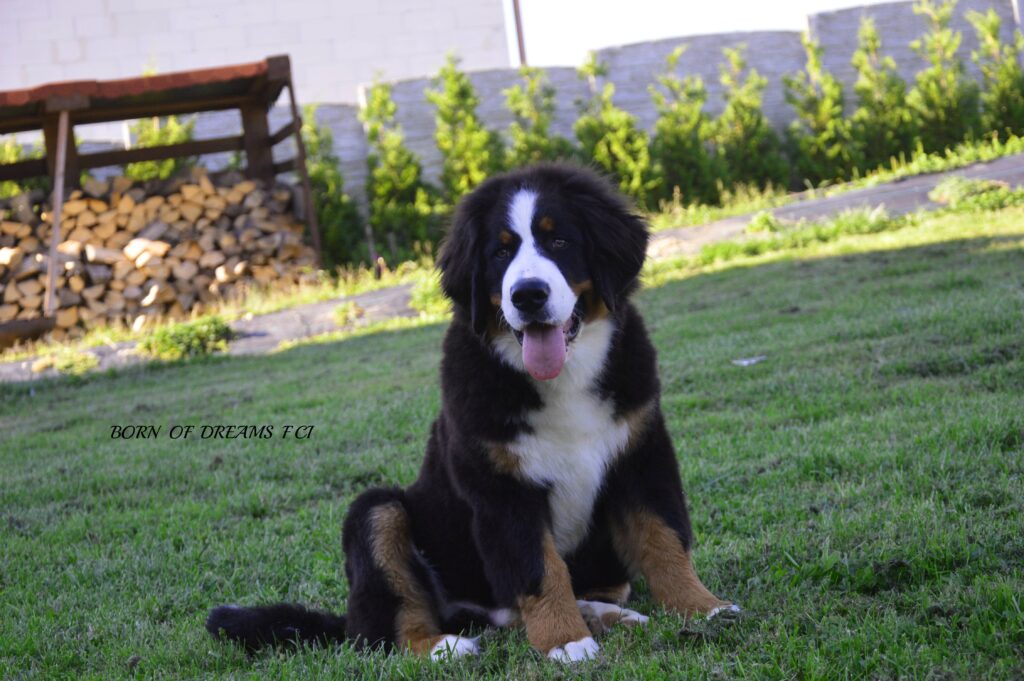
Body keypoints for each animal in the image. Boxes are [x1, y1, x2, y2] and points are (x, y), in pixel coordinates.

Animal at [206, 163, 737, 663]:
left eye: (559, 240)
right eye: (500, 253)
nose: (527, 295)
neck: (563, 380)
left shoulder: (641, 452)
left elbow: (664, 538)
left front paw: (702, 608)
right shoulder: (501, 487)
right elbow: (539, 569)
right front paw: (565, 642)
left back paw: (606, 614)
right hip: (378, 511)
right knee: (383, 630)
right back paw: (447, 645)